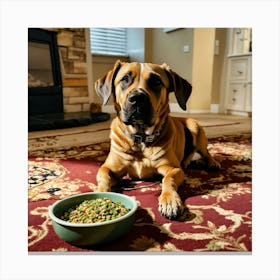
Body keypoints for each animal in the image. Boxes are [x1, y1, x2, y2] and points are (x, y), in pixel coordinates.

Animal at [94, 60, 221, 219]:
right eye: (125, 79)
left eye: (156, 81)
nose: (137, 98)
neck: (140, 138)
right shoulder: (109, 167)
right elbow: (103, 176)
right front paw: (100, 193)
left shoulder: (173, 168)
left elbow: (168, 179)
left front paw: (170, 200)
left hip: (196, 129)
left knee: (206, 152)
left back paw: (212, 162)